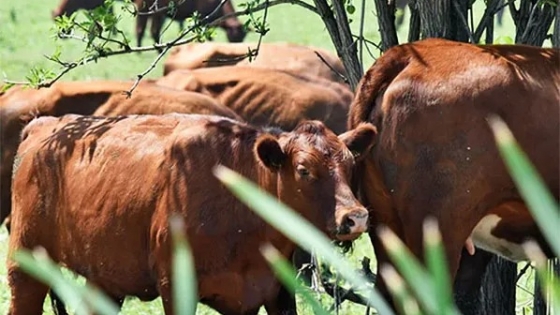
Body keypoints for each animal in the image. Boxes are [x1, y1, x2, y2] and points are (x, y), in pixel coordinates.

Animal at [6, 114, 374, 315]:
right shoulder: (177, 287)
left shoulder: (275, 291)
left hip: (105, 278)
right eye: (303, 170)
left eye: (350, 165)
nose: (355, 217)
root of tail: (46, 125)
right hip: (25, 264)